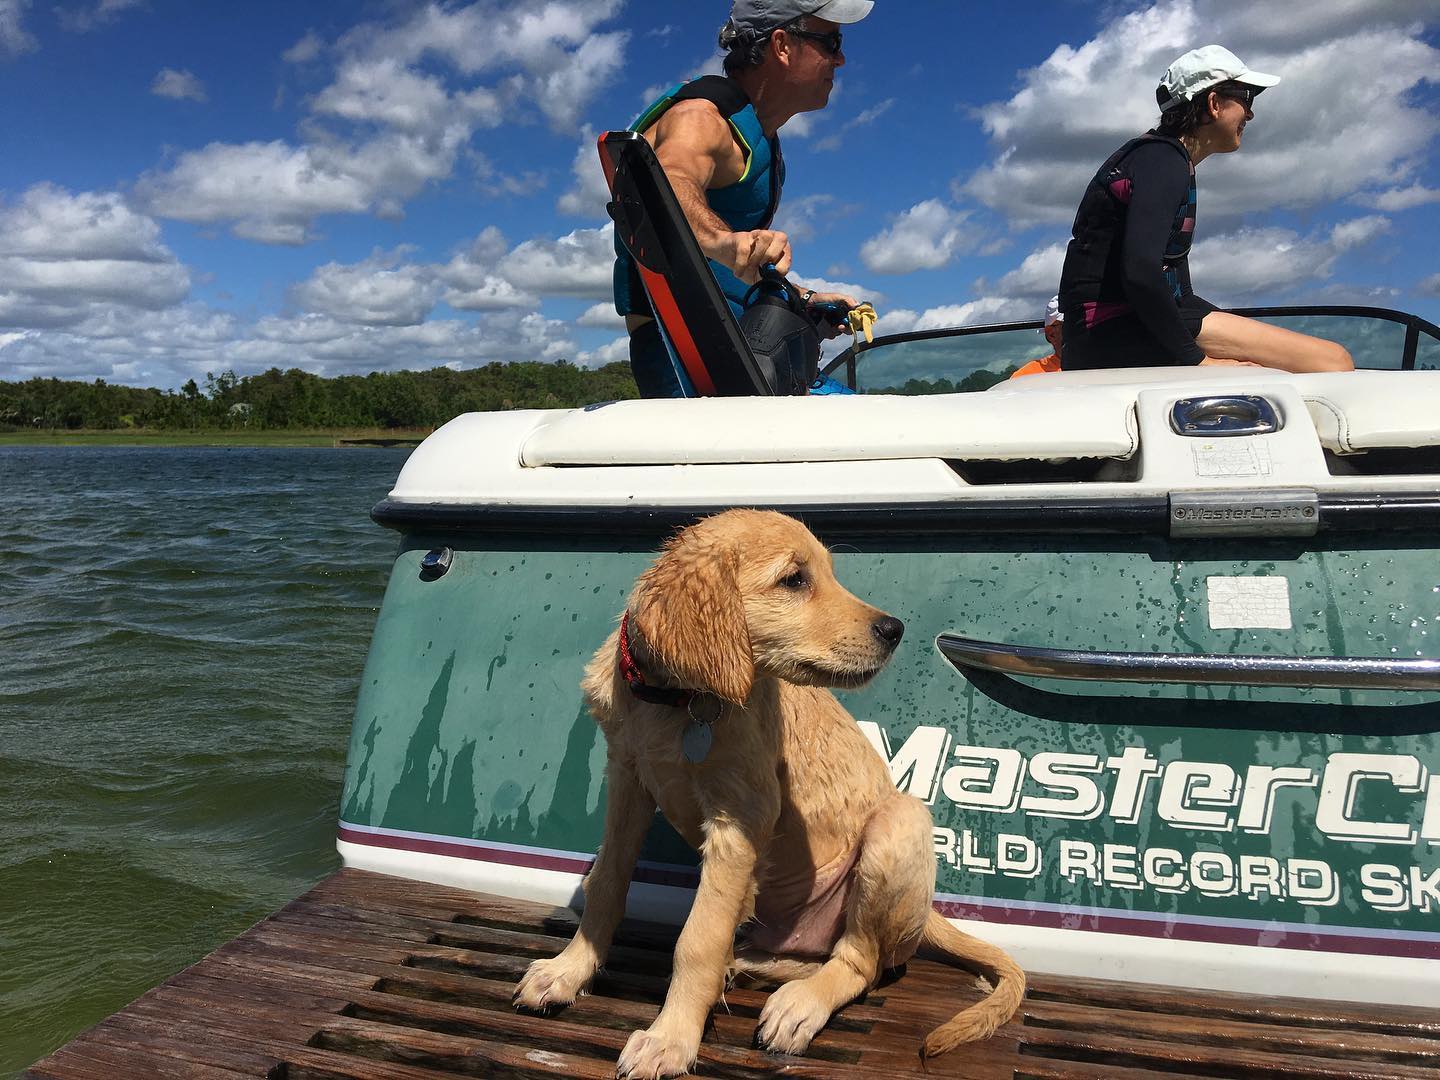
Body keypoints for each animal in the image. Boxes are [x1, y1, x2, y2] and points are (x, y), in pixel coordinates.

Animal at [514, 509, 1024, 1079]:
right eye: (794, 580)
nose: (894, 630)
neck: (677, 700)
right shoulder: (628, 778)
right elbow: (606, 883)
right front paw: (569, 969)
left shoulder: (742, 816)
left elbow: (697, 939)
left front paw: (671, 1039)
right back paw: (745, 967)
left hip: (899, 826)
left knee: (861, 962)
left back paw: (801, 1004)